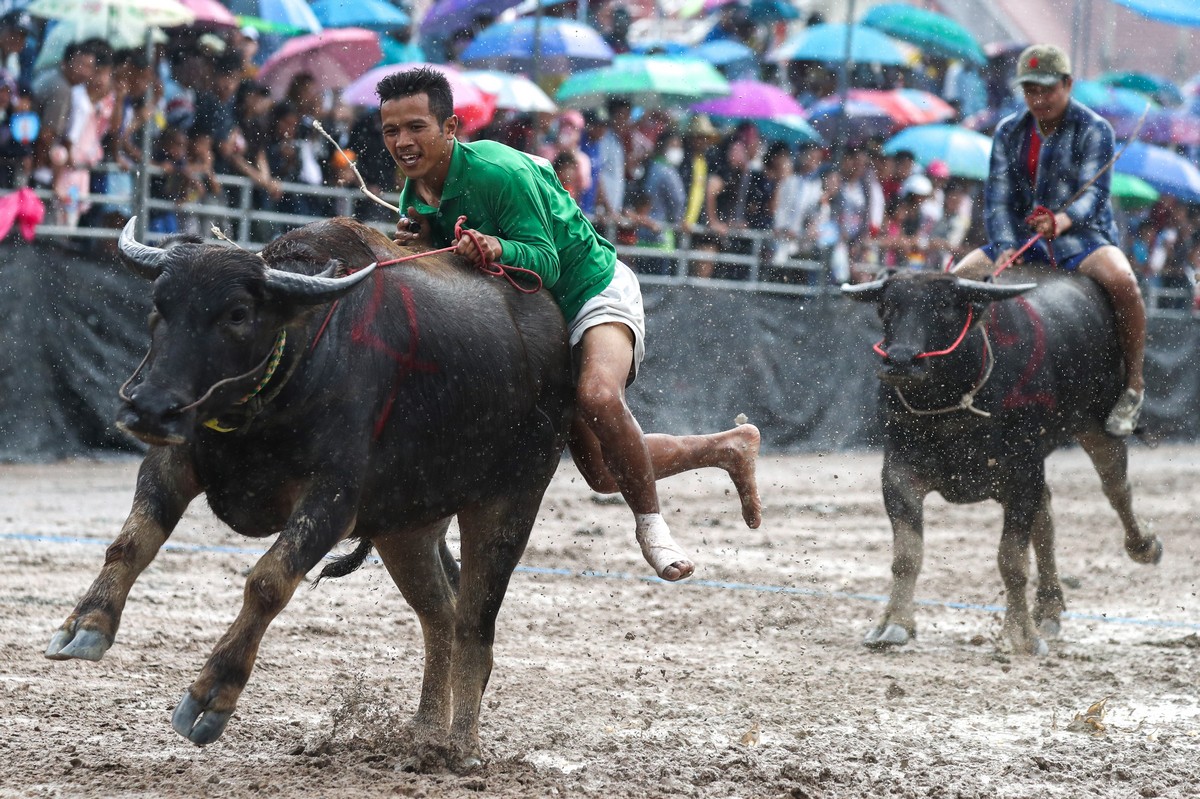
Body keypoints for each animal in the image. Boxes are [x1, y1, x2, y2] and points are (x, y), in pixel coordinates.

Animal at [45, 213, 571, 767]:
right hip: (407, 525)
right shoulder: (175, 458)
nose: (147, 408)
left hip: (510, 502)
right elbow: (131, 542)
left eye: (238, 313)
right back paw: (425, 733)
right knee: (439, 615)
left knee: (474, 622)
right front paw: (85, 626)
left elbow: (268, 582)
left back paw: (461, 747)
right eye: (159, 305)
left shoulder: (331, 502)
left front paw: (210, 697)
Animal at [844, 267, 1161, 652]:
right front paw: (893, 624)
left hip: (1098, 425)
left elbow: (1012, 560)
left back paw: (1145, 546)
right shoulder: (898, 474)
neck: (950, 407)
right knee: (1046, 516)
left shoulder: (1022, 474)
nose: (901, 360)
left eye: (945, 307)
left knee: (1116, 488)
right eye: (887, 306)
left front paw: (1020, 636)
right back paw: (1049, 611)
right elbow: (907, 555)